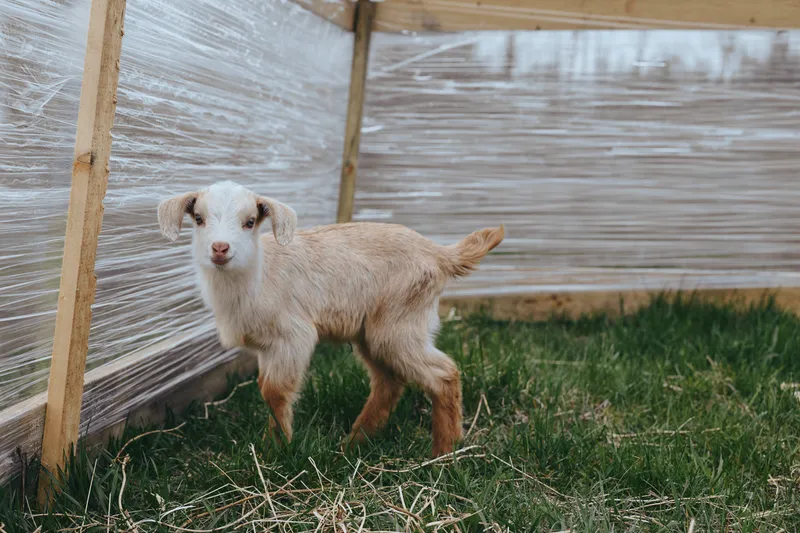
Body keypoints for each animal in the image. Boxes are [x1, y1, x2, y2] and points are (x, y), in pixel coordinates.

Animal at [158, 180, 504, 456]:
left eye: (250, 222)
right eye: (199, 219)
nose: (220, 248)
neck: (258, 274)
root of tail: (439, 254)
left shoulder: (292, 336)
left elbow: (275, 391)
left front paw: (280, 451)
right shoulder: (267, 348)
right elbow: (265, 388)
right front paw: (271, 444)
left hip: (399, 323)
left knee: (444, 374)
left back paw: (443, 452)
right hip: (373, 333)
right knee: (389, 382)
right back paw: (355, 442)